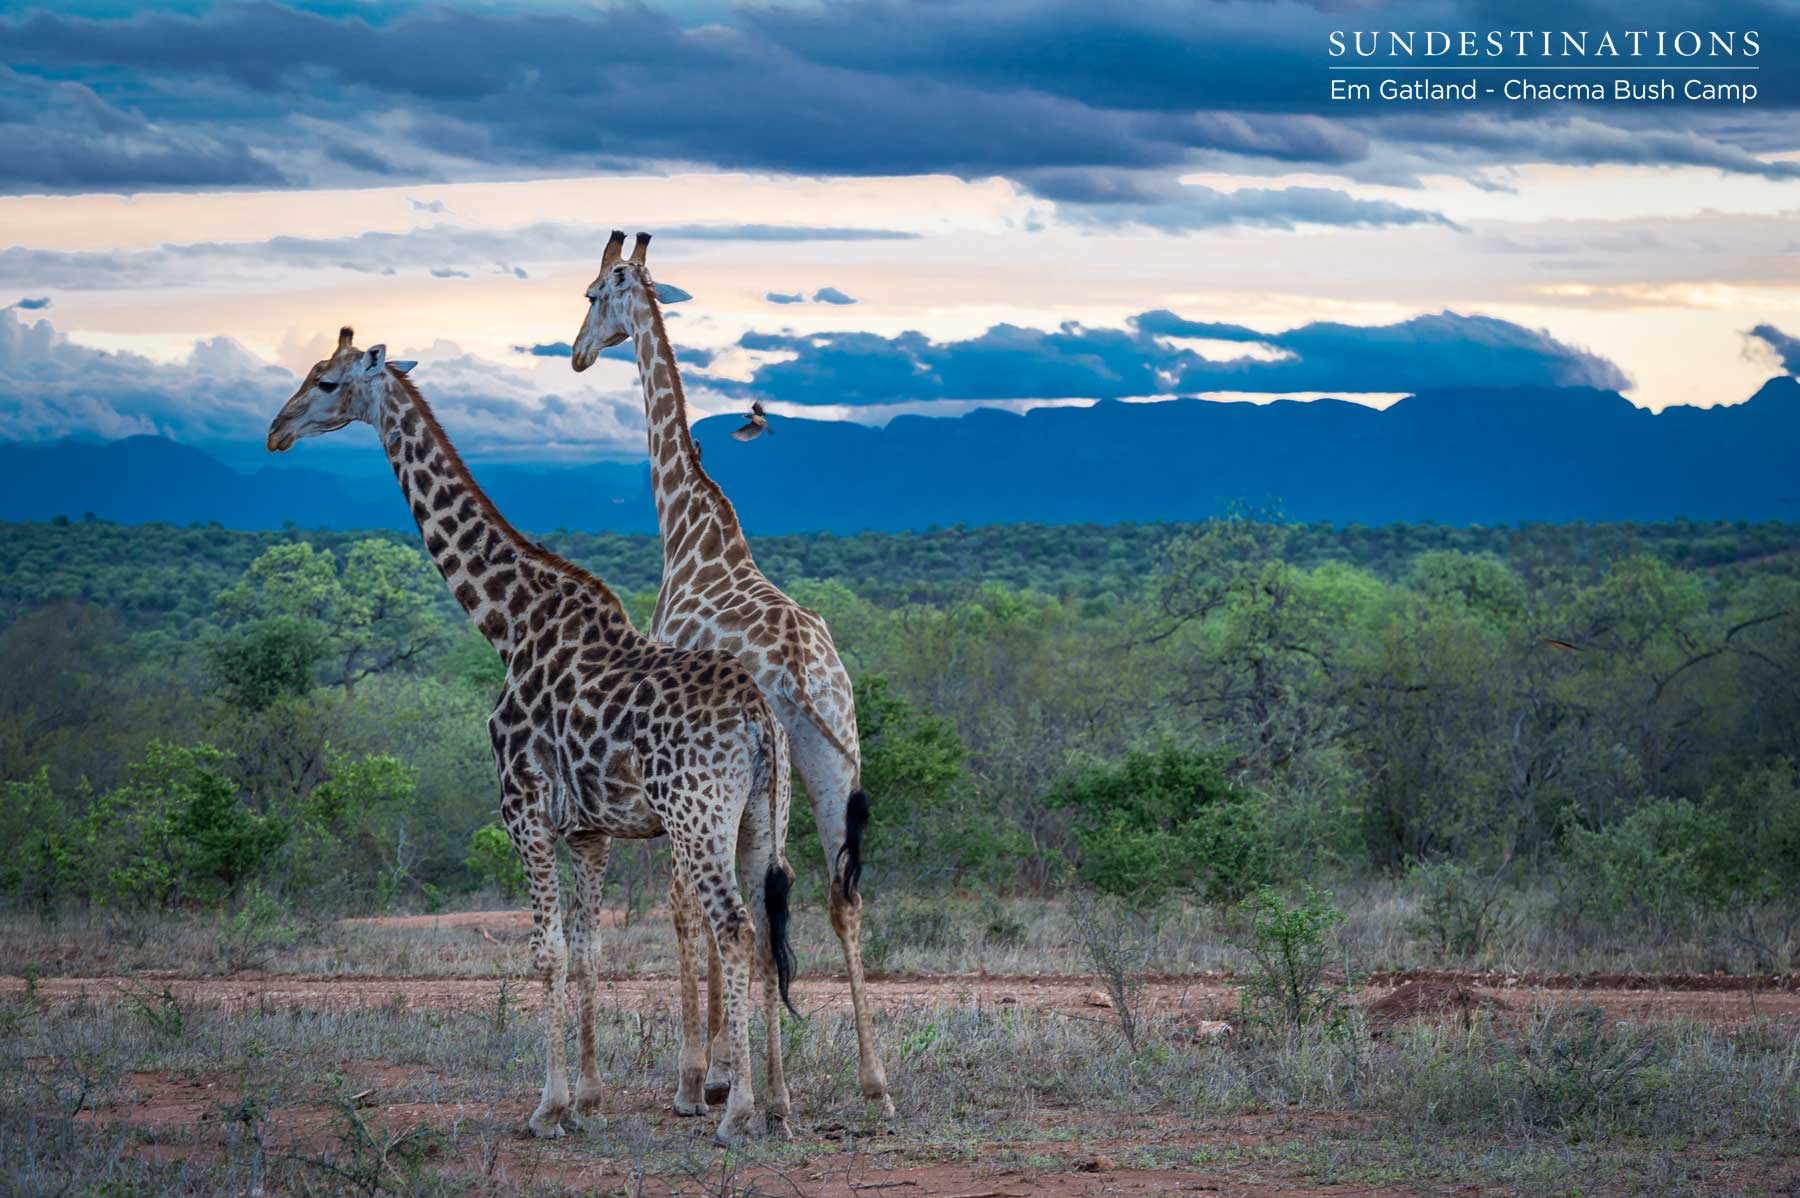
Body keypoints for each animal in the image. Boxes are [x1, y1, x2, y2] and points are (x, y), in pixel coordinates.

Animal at [265, 327, 797, 1145]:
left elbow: (546, 952)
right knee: (767, 932)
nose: (276, 431)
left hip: (698, 816)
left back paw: (735, 1113)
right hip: (762, 816)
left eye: (326, 383)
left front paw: (547, 1107)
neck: (507, 625)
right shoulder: (588, 828)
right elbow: (589, 950)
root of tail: (757, 717)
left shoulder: (521, 804)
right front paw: (589, 1099)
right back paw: (777, 1104)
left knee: (735, 930)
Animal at [573, 231, 893, 1116]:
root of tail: (804, 669)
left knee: (753, 900)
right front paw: (726, 1072)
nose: (577, 354)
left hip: (766, 775)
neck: (688, 532)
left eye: (593, 296)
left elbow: (686, 909)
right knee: (838, 896)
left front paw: (701, 1076)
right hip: (831, 758)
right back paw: (873, 1084)